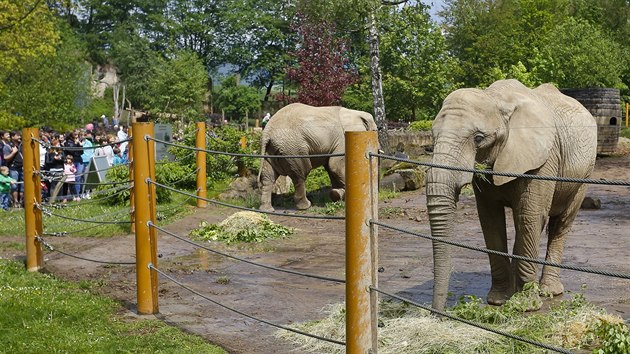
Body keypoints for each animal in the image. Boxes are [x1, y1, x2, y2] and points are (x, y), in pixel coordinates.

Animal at [428, 79, 600, 310]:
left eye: (478, 138)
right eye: (432, 136)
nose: (435, 312)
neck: (495, 98)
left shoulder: (543, 159)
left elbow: (530, 217)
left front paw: (526, 305)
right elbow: (490, 220)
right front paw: (498, 300)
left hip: (584, 174)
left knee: (560, 223)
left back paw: (548, 291)